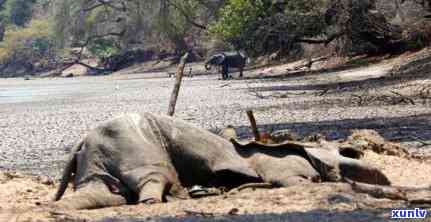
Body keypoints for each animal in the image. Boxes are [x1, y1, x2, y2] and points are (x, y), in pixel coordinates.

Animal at [52, 113, 390, 209]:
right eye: (345, 152)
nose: (385, 177)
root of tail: (84, 140)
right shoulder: (280, 164)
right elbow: (293, 180)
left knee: (108, 193)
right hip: (137, 146)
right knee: (152, 180)